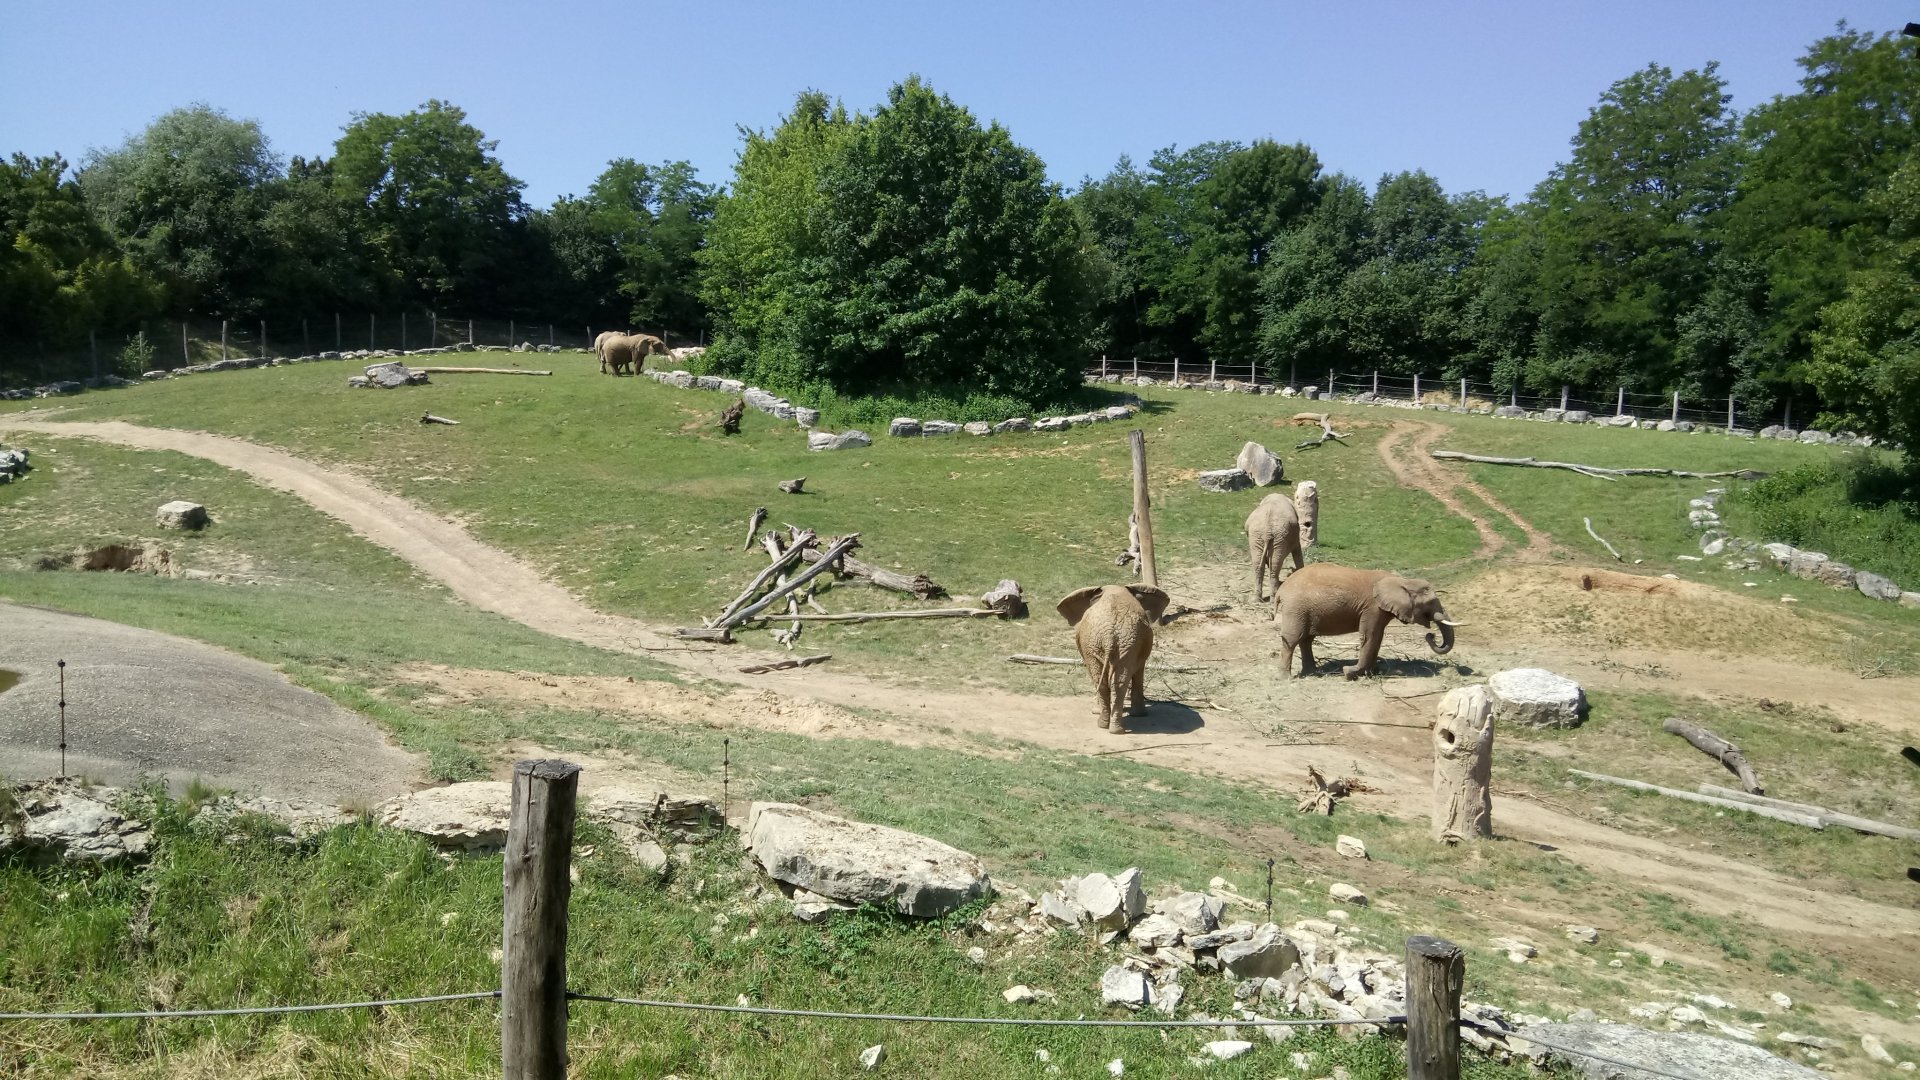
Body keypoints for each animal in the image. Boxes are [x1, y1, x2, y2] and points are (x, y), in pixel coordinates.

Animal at [1057, 584, 1170, 734]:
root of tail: (1109, 634)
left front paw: (1139, 715)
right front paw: (1139, 715)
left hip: (1121, 642)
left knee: (1107, 681)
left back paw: (1108, 726)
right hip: (1106, 642)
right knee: (1111, 682)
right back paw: (1110, 727)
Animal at [1273, 562, 1460, 680]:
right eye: (1430, 602)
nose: (1431, 636)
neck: (1401, 580)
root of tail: (1281, 590)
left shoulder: (1380, 611)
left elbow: (1377, 637)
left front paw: (1370, 673)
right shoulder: (1372, 608)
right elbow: (1370, 636)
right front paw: (1349, 673)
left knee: (1306, 639)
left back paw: (1313, 672)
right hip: (1295, 609)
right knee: (1292, 640)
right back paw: (1285, 678)